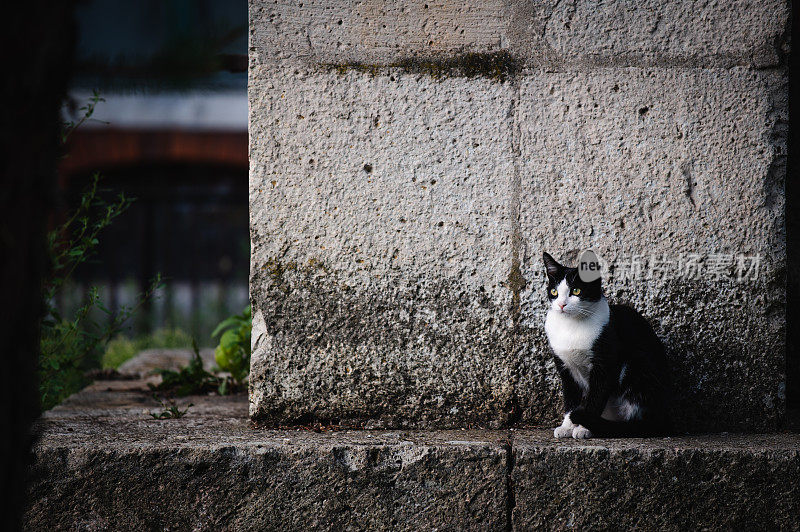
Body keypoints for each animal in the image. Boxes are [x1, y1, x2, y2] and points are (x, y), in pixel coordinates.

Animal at [540, 251, 672, 438]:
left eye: (576, 290)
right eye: (554, 291)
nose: (561, 304)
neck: (571, 326)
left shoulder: (605, 364)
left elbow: (596, 396)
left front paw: (584, 427)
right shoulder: (565, 368)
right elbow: (571, 398)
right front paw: (566, 426)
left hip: (638, 365)